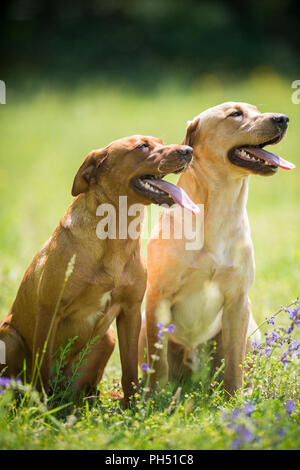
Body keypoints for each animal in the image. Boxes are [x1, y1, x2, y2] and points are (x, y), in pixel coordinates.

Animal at [0, 136, 197, 404]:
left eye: (161, 142)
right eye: (142, 146)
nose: (189, 150)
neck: (117, 234)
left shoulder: (130, 311)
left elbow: (129, 370)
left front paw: (132, 406)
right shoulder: (49, 311)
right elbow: (42, 372)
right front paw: (40, 409)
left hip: (106, 339)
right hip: (8, 338)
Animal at [141, 103, 296, 396]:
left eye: (256, 109)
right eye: (235, 114)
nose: (283, 119)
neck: (218, 209)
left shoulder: (237, 300)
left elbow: (234, 362)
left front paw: (233, 397)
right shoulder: (158, 297)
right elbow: (158, 363)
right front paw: (154, 397)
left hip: (250, 328)